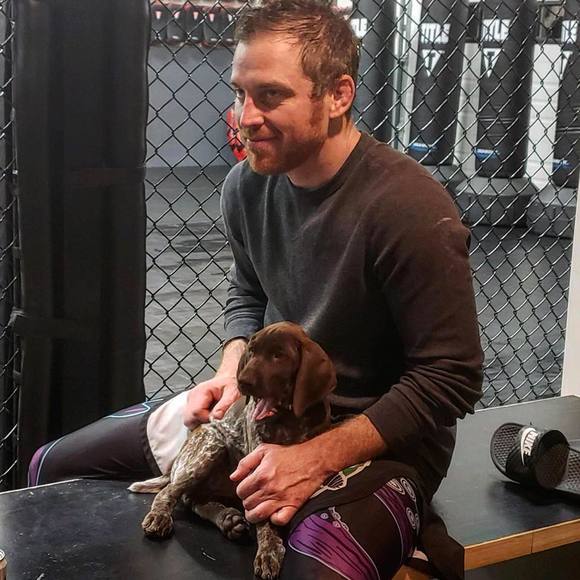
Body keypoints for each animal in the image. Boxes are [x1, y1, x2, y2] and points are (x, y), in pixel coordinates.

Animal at [129, 321, 336, 579]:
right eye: (251, 352)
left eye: (279, 355)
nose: (242, 382)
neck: (287, 419)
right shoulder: (259, 469)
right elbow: (265, 520)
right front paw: (269, 550)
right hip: (210, 447)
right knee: (171, 492)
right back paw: (162, 517)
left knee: (193, 498)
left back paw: (228, 518)